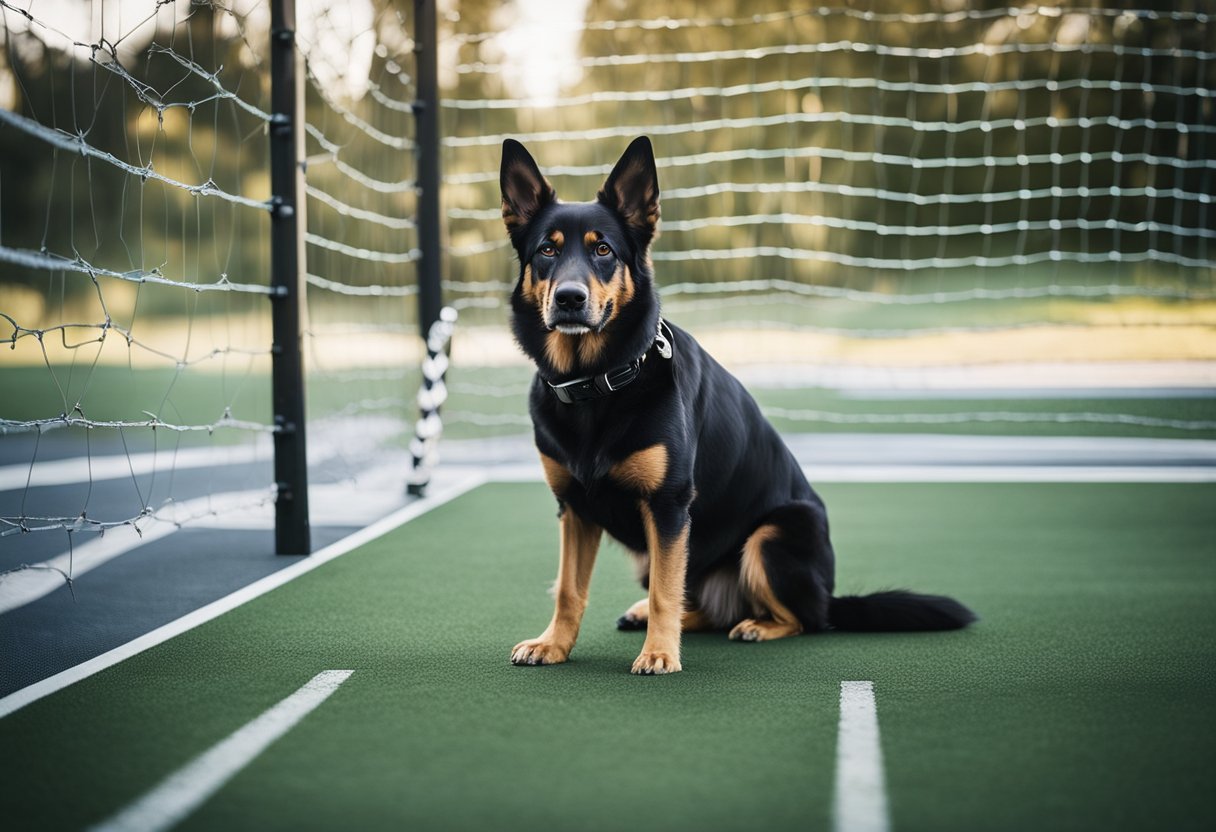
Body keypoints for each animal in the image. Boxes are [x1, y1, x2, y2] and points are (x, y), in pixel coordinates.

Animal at [498, 133, 972, 671]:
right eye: (546, 251)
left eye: (603, 249)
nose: (570, 299)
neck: (598, 383)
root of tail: (830, 595)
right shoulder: (575, 510)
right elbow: (569, 590)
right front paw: (553, 644)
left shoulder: (669, 507)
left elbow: (665, 591)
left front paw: (659, 654)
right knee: (700, 605)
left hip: (774, 534)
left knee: (804, 619)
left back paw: (757, 626)